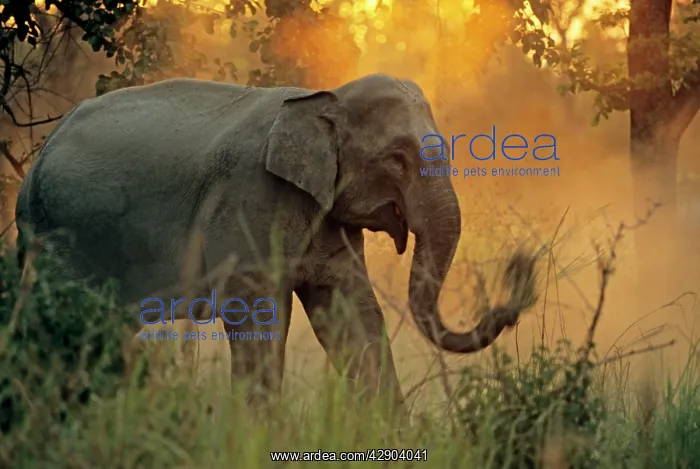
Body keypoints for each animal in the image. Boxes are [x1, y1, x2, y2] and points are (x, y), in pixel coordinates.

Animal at [14, 73, 537, 411]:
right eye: (397, 158)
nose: (518, 276)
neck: (322, 99)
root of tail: (37, 162)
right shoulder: (250, 198)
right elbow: (256, 312)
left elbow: (352, 313)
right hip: (59, 234)